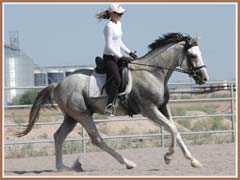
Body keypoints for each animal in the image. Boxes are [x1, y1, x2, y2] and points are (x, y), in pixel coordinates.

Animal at [17, 32, 208, 172]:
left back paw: (63, 167)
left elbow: (175, 130)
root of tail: (58, 84)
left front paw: (193, 161)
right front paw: (168, 157)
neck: (153, 73)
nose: (204, 78)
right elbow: (172, 129)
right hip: (83, 115)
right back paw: (128, 163)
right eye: (192, 55)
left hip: (71, 117)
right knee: (96, 139)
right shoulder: (149, 110)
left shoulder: (162, 107)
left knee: (58, 136)